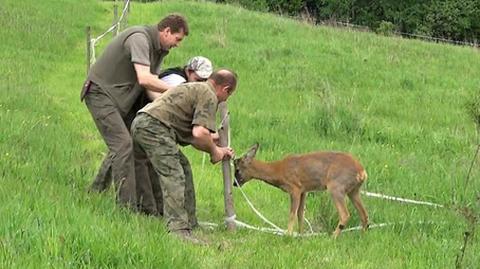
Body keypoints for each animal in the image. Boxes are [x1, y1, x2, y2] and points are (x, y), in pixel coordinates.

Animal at [234, 142, 370, 237]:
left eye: (237, 170)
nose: (234, 184)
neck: (278, 171)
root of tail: (362, 172)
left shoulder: (295, 188)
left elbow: (292, 214)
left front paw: (288, 235)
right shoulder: (304, 191)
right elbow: (300, 214)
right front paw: (300, 235)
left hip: (336, 187)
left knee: (345, 214)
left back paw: (333, 237)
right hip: (354, 191)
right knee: (364, 215)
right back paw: (362, 236)